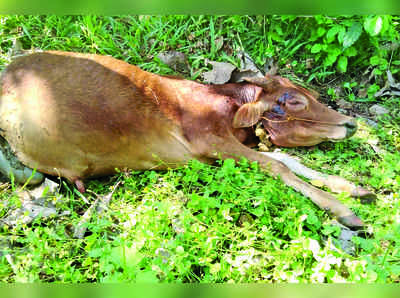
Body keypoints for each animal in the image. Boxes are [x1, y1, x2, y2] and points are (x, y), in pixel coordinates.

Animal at [0, 51, 368, 228]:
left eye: (312, 95)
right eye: (293, 101)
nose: (350, 124)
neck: (227, 107)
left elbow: (286, 160)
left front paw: (352, 188)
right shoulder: (210, 141)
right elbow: (279, 167)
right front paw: (343, 210)